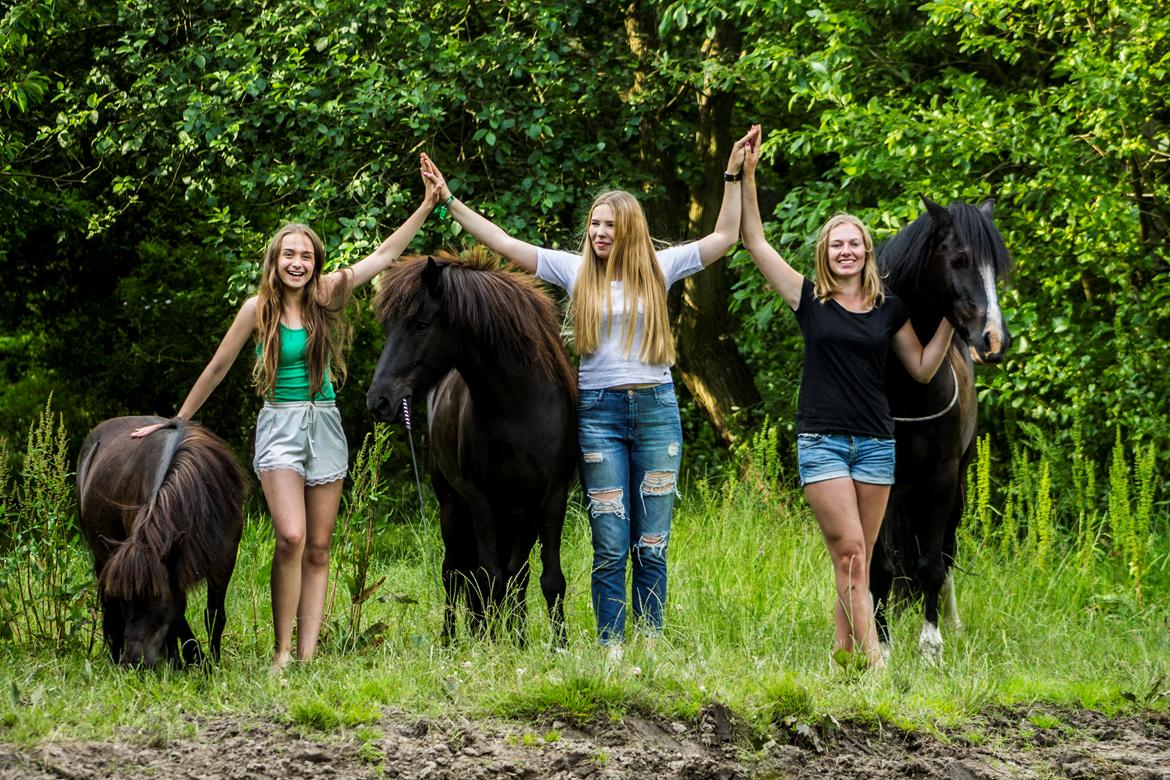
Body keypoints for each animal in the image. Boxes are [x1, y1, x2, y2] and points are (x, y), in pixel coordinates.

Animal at [76, 418, 246, 668]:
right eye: (125, 599)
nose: (132, 662)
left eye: (156, 596)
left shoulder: (224, 559)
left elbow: (214, 614)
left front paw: (212, 663)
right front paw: (184, 661)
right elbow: (176, 616)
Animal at [367, 253, 577, 645]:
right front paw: (491, 644)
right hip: (452, 506)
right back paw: (455, 639)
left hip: (517, 516)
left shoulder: (551, 500)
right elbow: (487, 577)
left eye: (420, 325)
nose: (379, 402)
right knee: (455, 572)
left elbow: (546, 579)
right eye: (388, 328)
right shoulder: (481, 501)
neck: (519, 407)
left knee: (514, 574)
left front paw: (553, 645)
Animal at [875, 196, 1010, 664]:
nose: (994, 341)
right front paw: (880, 642)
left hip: (958, 488)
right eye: (960, 259)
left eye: (997, 268)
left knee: (946, 552)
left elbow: (933, 563)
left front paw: (930, 643)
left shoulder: (943, 479)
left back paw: (950, 622)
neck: (906, 386)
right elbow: (881, 562)